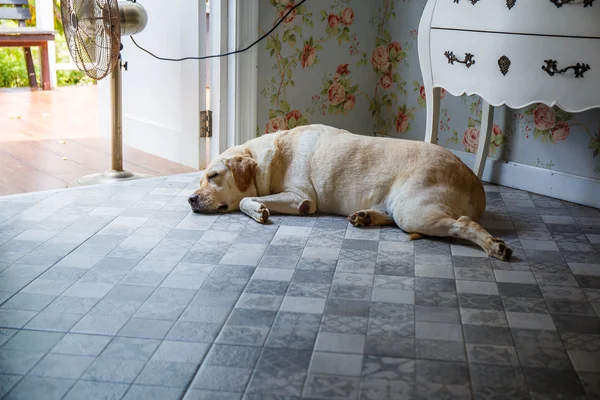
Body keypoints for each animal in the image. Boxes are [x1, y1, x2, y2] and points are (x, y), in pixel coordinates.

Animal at [190, 126, 512, 262]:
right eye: (201, 179)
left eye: (213, 176)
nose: (191, 199)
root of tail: (474, 181)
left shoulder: (301, 197)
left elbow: (247, 198)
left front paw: (258, 210)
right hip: (403, 207)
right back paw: (365, 216)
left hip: (413, 211)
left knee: (463, 224)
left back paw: (495, 247)